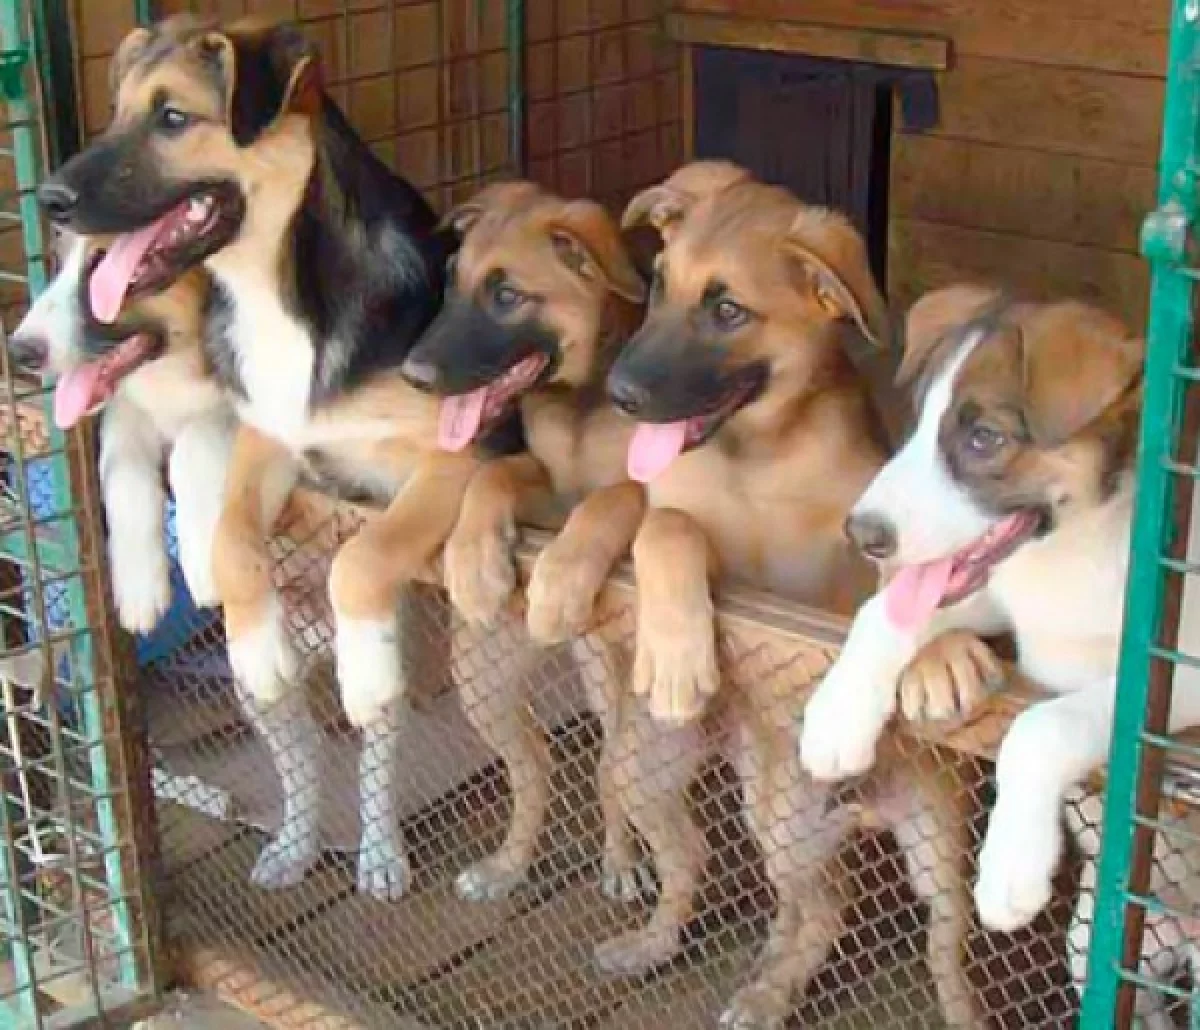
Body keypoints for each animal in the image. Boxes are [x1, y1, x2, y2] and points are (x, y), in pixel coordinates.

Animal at [7, 231, 232, 634]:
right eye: (57, 257)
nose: (19, 351)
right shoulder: (126, 409)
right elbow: (124, 476)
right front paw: (139, 586)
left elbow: (195, 443)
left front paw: (205, 561)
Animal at [37, 15, 523, 900]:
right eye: (118, 112)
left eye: (172, 117)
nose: (50, 198)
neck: (277, 293)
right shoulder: (263, 437)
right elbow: (226, 535)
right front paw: (226, 612)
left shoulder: (453, 454)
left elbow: (363, 555)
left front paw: (364, 660)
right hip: (273, 704)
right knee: (298, 757)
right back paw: (293, 836)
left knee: (374, 752)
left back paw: (378, 848)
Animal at [798, 286, 1200, 944]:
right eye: (919, 422)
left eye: (985, 437)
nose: (861, 534)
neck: (1073, 546)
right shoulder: (994, 594)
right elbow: (884, 613)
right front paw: (836, 716)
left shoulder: (1174, 675)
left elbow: (1043, 726)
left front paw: (1011, 869)